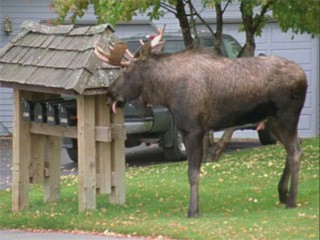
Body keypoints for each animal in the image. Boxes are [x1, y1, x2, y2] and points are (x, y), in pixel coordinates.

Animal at [94, 28, 308, 218]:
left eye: (126, 70)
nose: (110, 94)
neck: (166, 91)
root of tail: (304, 76)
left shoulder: (193, 130)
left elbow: (193, 173)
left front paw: (193, 211)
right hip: (272, 120)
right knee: (292, 149)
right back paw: (282, 193)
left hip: (287, 116)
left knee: (295, 152)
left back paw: (291, 200)